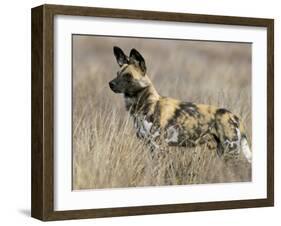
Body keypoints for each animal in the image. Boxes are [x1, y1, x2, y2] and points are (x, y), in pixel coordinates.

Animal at [108, 46, 250, 162]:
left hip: (230, 153)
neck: (146, 105)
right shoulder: (150, 147)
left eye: (128, 76)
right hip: (223, 153)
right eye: (117, 74)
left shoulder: (158, 146)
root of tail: (235, 117)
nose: (110, 84)